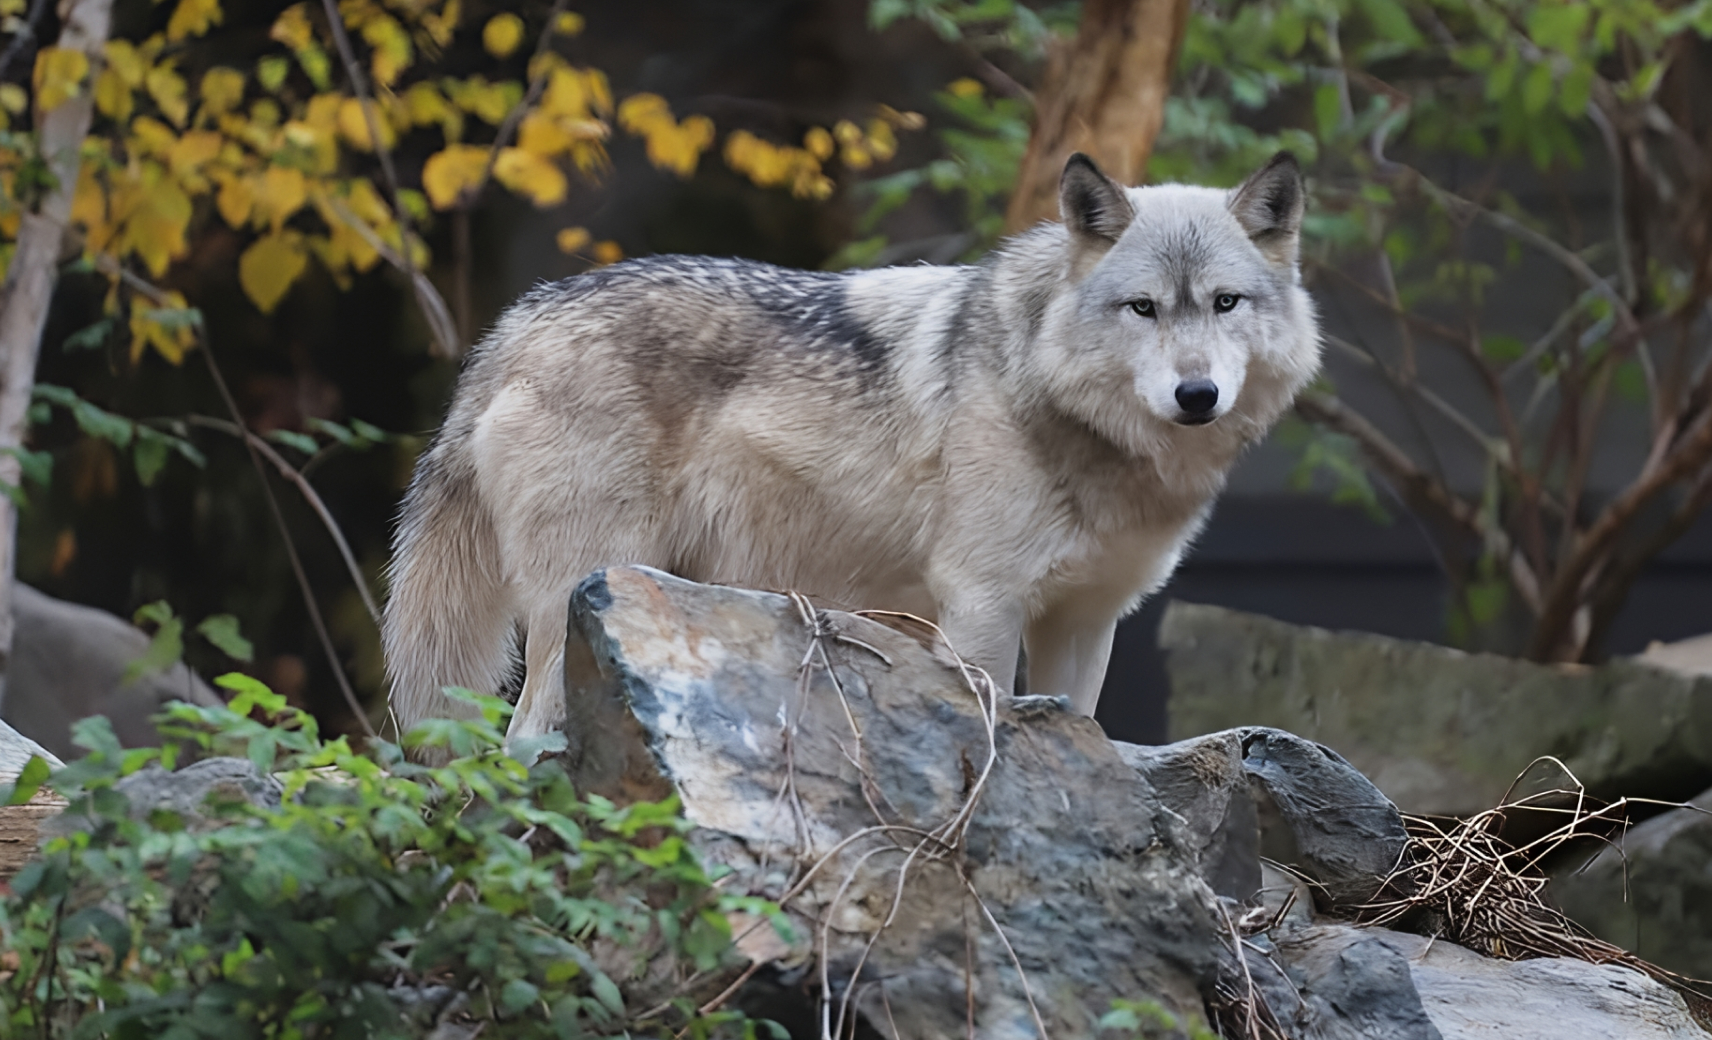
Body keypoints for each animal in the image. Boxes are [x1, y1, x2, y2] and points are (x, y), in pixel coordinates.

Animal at [383, 151, 1321, 747]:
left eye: (1225, 303)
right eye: (1144, 309)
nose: (1196, 396)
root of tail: (518, 319)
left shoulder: (1086, 623)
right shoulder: (981, 605)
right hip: (580, 599)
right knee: (521, 736)